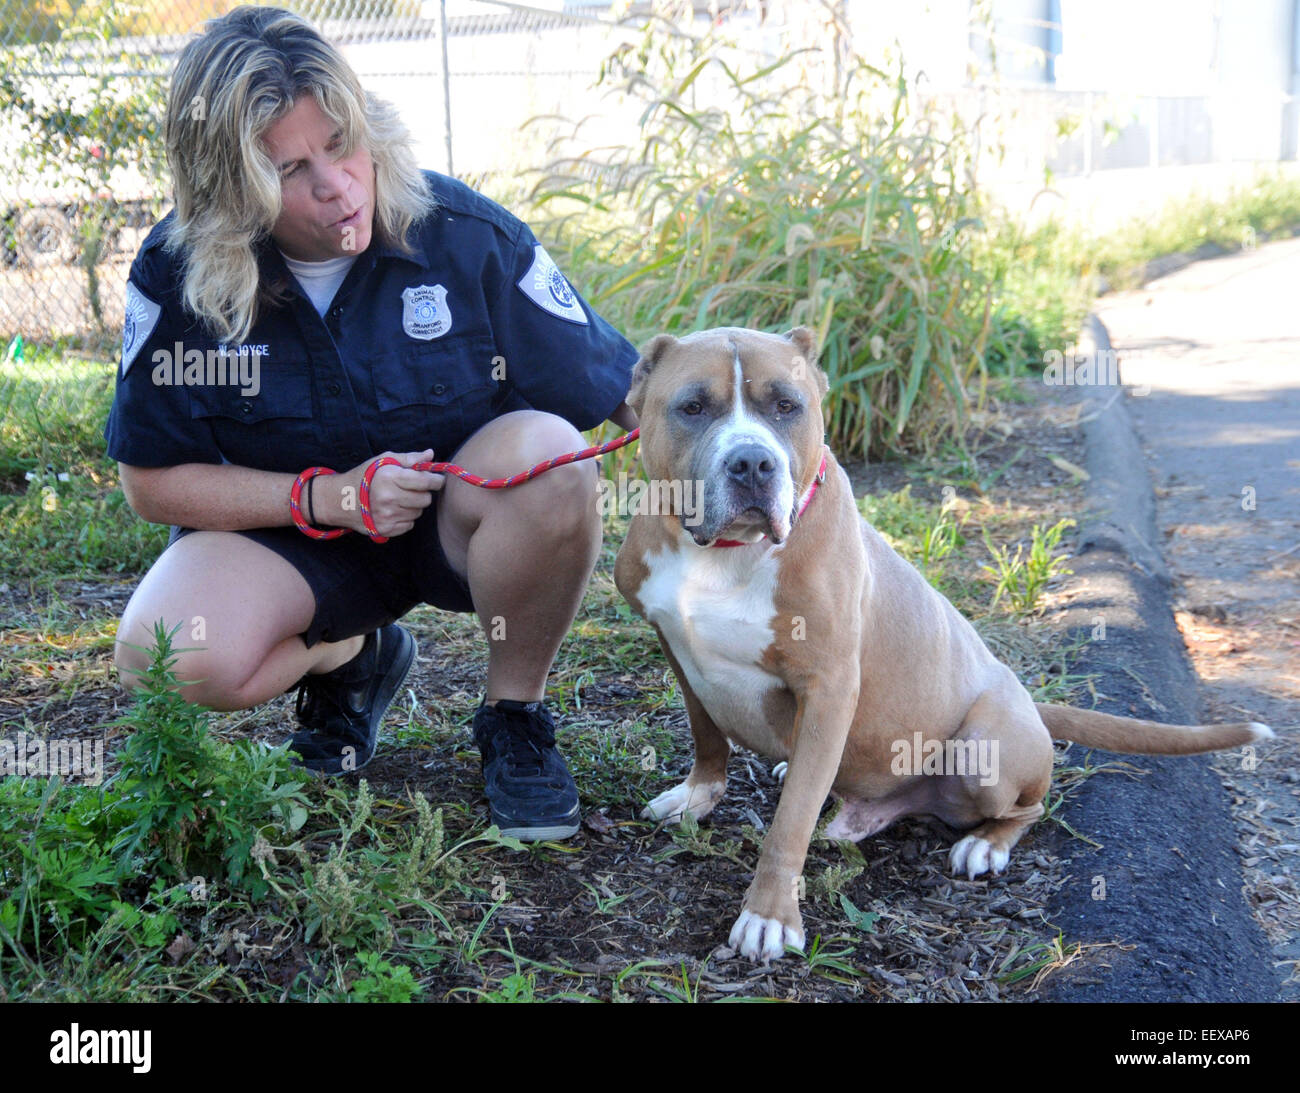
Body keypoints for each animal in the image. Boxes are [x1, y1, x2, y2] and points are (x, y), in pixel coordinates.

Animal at [613, 323, 1274, 956]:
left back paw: (986, 846)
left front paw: (770, 916)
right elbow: (708, 736)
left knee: (1029, 806)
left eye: (786, 406)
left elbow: (790, 824)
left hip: (985, 747)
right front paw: (697, 795)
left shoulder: (829, 686)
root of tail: (1030, 705)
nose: (752, 463)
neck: (725, 555)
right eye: (693, 407)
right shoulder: (678, 647)